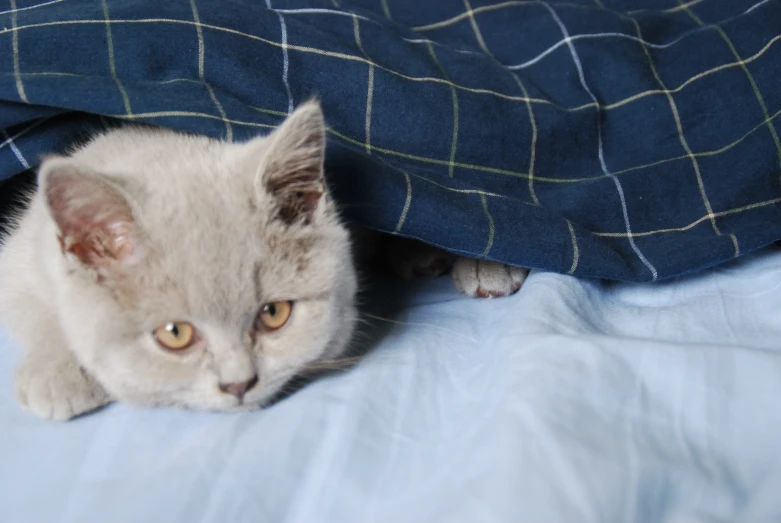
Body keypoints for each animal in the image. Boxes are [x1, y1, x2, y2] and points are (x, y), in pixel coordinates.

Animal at [0, 101, 528, 422]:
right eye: (175, 334)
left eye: (273, 314)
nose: (239, 384)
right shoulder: (22, 251)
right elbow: (28, 304)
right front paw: (56, 371)